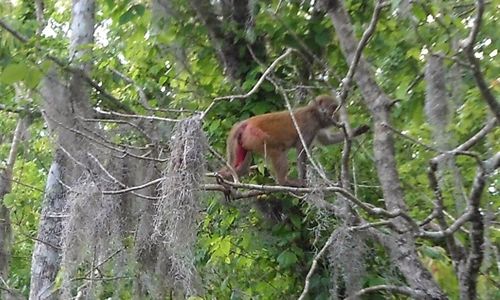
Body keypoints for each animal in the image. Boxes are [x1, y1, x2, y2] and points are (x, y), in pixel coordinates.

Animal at [221, 95, 370, 186]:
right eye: (334, 108)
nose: (338, 116)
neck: (314, 113)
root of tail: (245, 123)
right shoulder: (310, 126)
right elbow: (301, 150)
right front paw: (302, 180)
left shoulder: (317, 127)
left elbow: (326, 140)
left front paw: (357, 130)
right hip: (255, 136)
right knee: (277, 150)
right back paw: (284, 182)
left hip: (244, 141)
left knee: (242, 165)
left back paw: (227, 177)